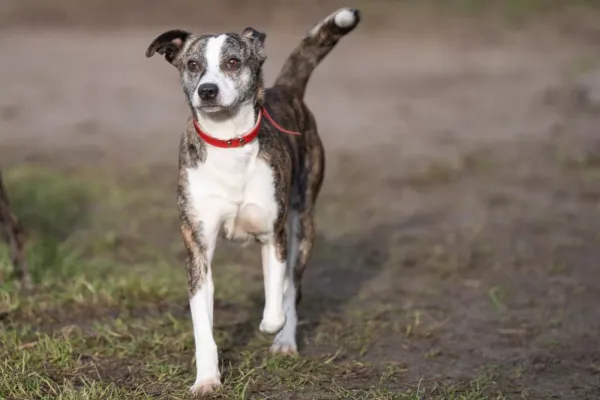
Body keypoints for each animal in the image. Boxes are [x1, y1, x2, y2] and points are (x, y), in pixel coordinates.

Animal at [145, 7, 360, 396]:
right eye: (193, 64)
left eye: (233, 62)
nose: (207, 90)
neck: (228, 141)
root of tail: (286, 89)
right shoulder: (198, 249)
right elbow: (203, 327)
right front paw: (206, 380)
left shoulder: (273, 236)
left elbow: (277, 297)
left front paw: (272, 327)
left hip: (304, 222)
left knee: (293, 287)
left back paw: (285, 341)